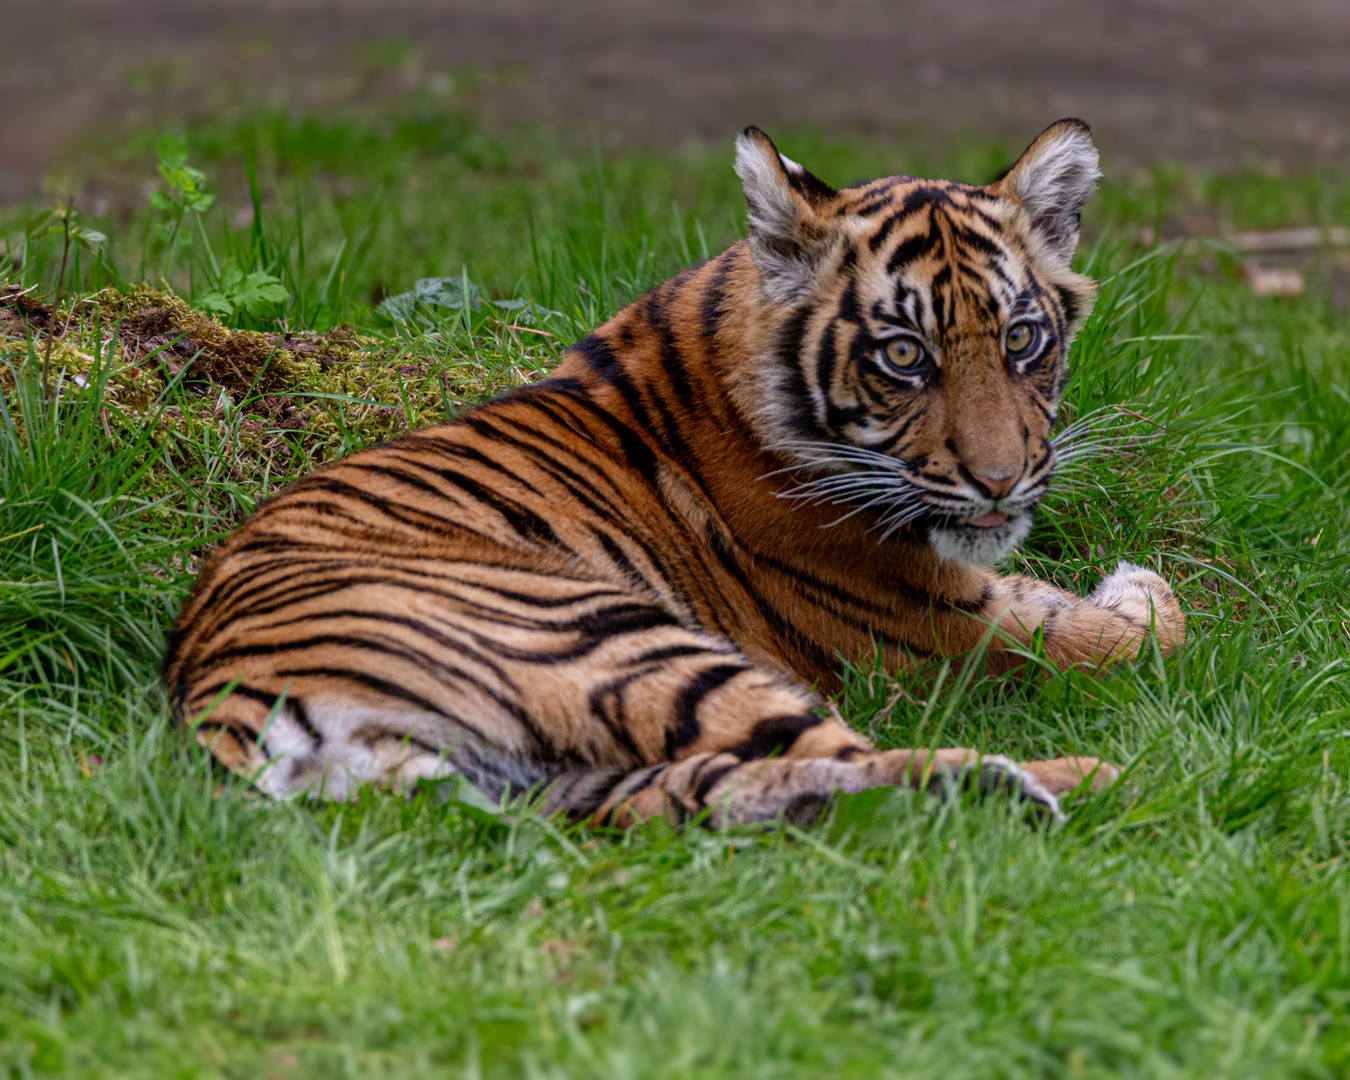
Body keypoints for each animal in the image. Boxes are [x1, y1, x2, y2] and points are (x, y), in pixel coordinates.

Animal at [166, 120, 1182, 826]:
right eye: (902, 355)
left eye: (1022, 340)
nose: (1001, 483)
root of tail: (232, 713)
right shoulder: (939, 625)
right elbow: (1139, 637)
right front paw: (1136, 590)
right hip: (615, 640)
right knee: (853, 757)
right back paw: (1099, 779)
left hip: (565, 775)